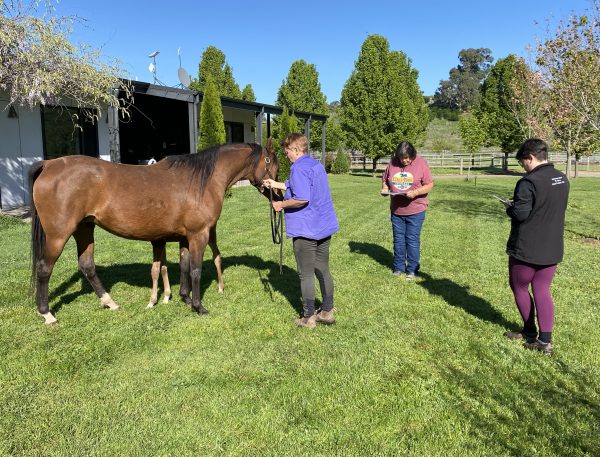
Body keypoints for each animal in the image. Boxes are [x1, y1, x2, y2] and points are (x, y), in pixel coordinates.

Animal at [30, 141, 278, 322]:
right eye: (273, 165)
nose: (277, 193)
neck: (202, 180)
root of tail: (49, 165)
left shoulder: (184, 237)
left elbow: (184, 266)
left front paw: (184, 298)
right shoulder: (198, 235)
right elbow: (195, 270)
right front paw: (198, 306)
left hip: (84, 228)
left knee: (86, 265)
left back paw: (110, 302)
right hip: (59, 235)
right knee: (44, 268)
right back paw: (47, 314)